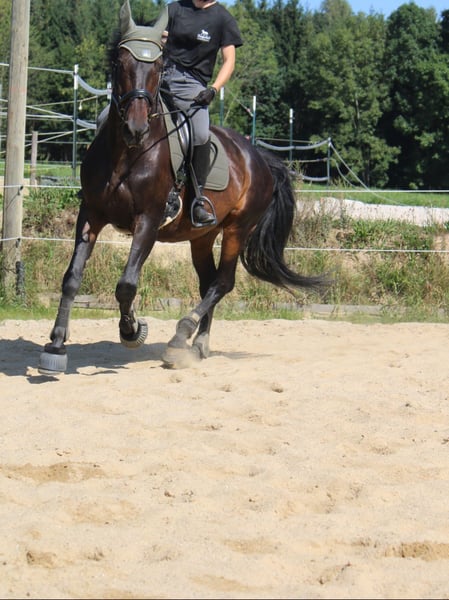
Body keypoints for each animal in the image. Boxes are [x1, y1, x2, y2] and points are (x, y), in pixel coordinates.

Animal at [38, 0, 328, 375]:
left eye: (158, 66)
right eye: (120, 63)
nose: (135, 128)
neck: (127, 153)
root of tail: (260, 158)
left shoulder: (148, 220)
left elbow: (127, 284)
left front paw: (132, 330)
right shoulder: (91, 214)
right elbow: (72, 278)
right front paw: (56, 346)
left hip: (237, 228)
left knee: (223, 282)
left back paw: (181, 337)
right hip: (201, 236)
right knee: (208, 282)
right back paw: (197, 343)